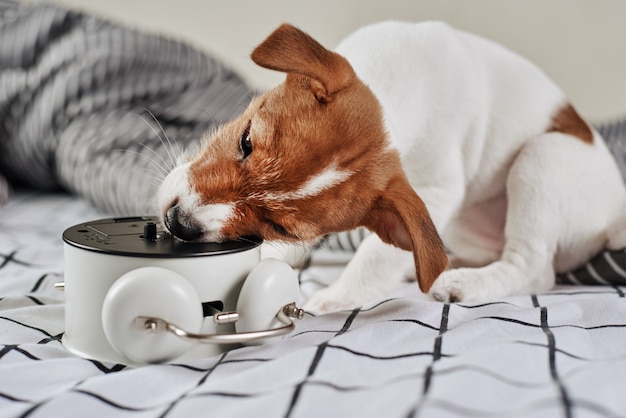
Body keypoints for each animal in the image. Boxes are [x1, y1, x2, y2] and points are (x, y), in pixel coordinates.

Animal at [155, 20, 624, 314]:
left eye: (280, 226)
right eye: (246, 141)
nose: (178, 223)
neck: (395, 98)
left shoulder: (434, 191)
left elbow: (374, 258)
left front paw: (333, 299)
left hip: (543, 157)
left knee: (534, 269)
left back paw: (464, 283)